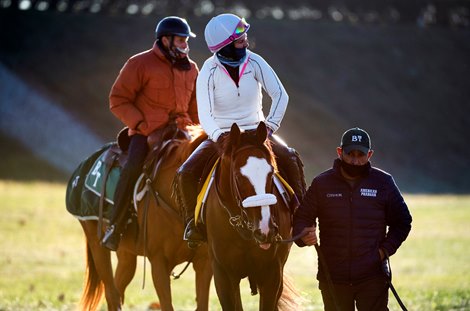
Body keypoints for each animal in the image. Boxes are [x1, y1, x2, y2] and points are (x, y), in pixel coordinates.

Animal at [66, 127, 213, 311]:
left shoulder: (204, 264)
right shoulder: (159, 263)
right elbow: (167, 304)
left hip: (126, 254)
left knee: (117, 289)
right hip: (96, 242)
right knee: (111, 292)